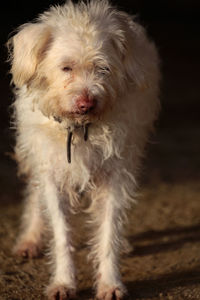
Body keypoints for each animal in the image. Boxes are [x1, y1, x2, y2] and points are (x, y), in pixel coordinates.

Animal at [7, 1, 160, 298]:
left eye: (104, 69)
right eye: (66, 68)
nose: (86, 103)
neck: (79, 129)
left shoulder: (116, 176)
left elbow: (109, 230)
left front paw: (110, 282)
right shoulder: (51, 171)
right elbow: (60, 232)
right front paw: (63, 281)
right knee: (34, 194)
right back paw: (30, 238)